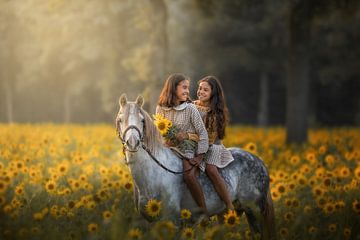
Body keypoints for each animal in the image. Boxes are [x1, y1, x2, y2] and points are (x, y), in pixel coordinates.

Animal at [115, 94, 276, 239]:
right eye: (120, 119)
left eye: (142, 120)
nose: (132, 143)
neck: (154, 175)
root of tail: (260, 162)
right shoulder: (151, 223)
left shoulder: (173, 221)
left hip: (254, 212)